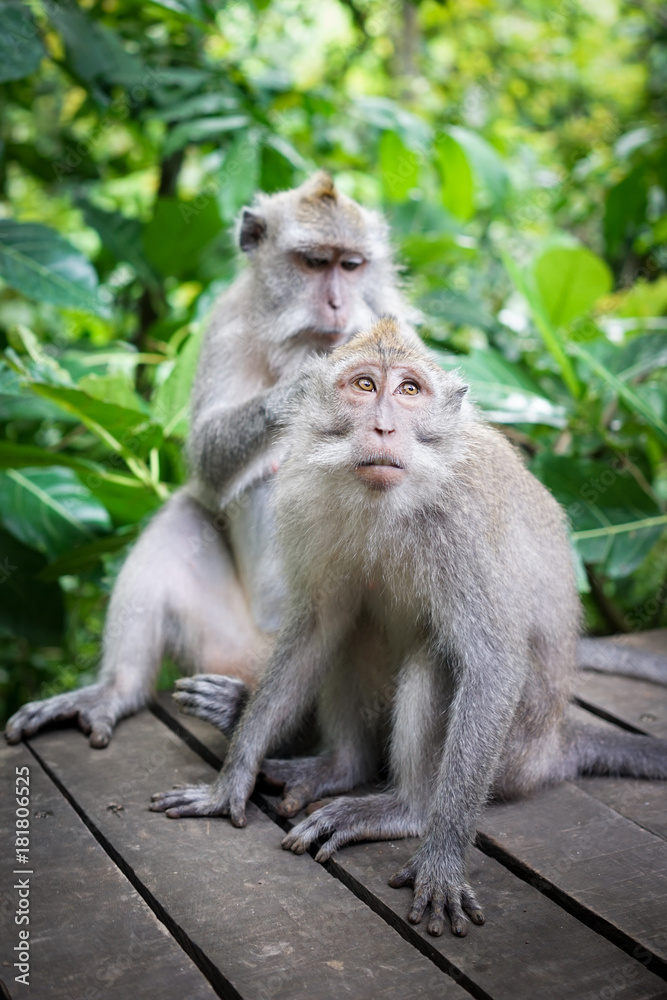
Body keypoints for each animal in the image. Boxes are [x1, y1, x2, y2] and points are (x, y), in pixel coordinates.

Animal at [5, 174, 420, 752]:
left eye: (353, 265)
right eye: (315, 263)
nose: (338, 304)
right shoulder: (225, 325)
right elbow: (206, 458)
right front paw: (304, 386)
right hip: (226, 643)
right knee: (181, 516)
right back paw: (119, 690)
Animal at [150, 320, 667, 936]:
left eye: (410, 390)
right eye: (365, 385)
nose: (384, 426)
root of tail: (553, 745)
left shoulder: (463, 522)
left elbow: (491, 662)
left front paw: (442, 858)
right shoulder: (305, 500)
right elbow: (317, 625)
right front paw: (232, 777)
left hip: (513, 751)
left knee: (439, 654)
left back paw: (409, 810)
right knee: (352, 627)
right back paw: (339, 764)